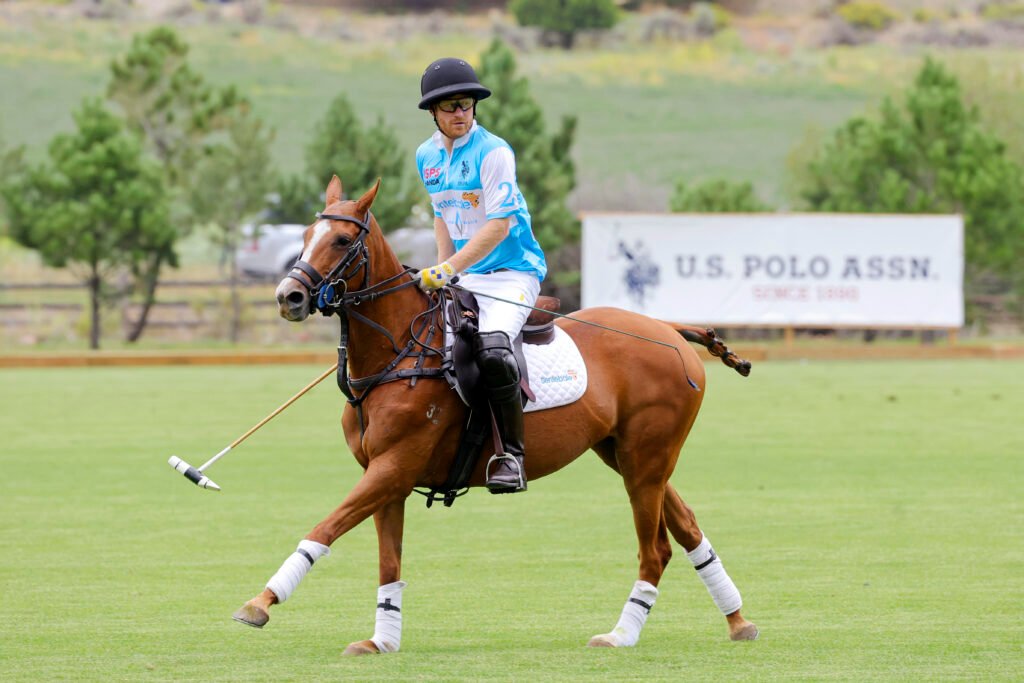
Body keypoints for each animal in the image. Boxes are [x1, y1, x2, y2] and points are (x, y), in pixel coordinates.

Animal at [234, 179, 761, 655]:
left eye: (343, 240)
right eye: (305, 236)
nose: (288, 296)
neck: (397, 353)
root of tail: (670, 330)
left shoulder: (395, 466)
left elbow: (325, 527)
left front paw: (260, 603)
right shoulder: (385, 474)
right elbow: (388, 562)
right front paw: (381, 640)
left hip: (646, 456)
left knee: (654, 550)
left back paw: (620, 635)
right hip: (627, 454)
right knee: (686, 528)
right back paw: (737, 620)